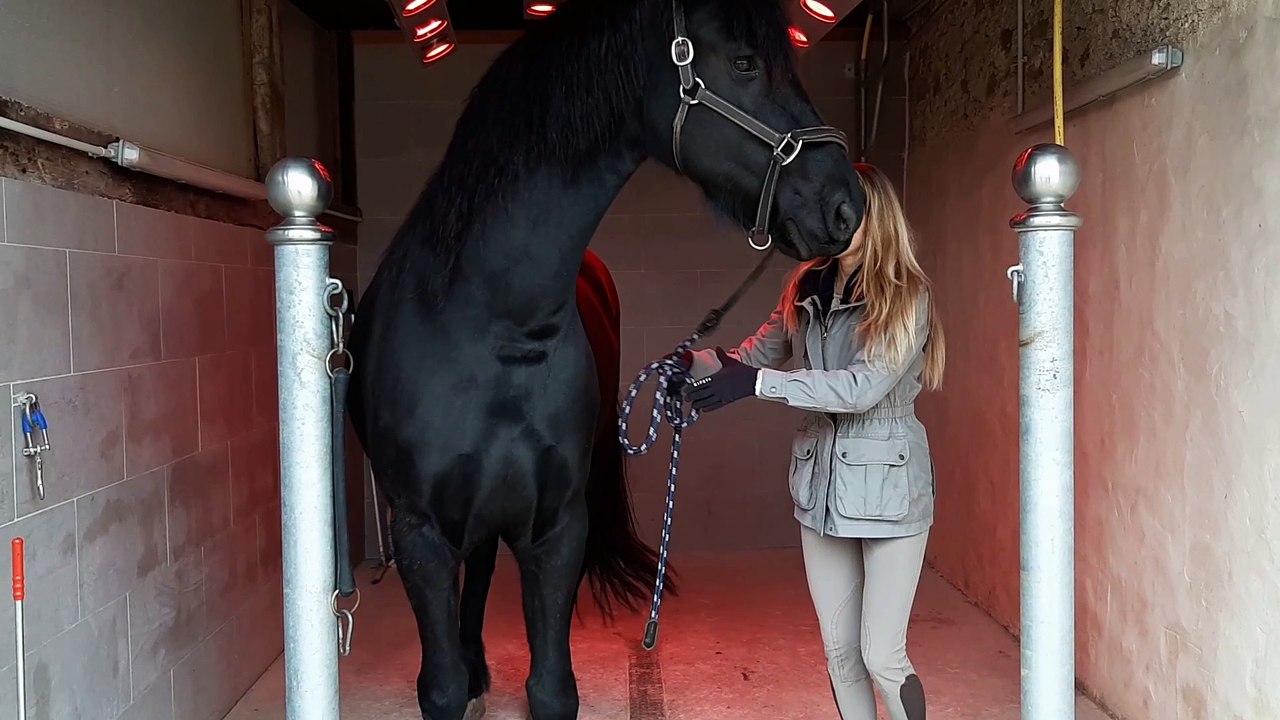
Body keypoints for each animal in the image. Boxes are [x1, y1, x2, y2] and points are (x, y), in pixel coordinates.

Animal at [345, 0, 866, 717]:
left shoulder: (559, 527)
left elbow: (551, 690)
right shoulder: (419, 534)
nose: (848, 205)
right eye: (744, 62)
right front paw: (462, 680)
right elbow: (442, 690)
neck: (489, 330)